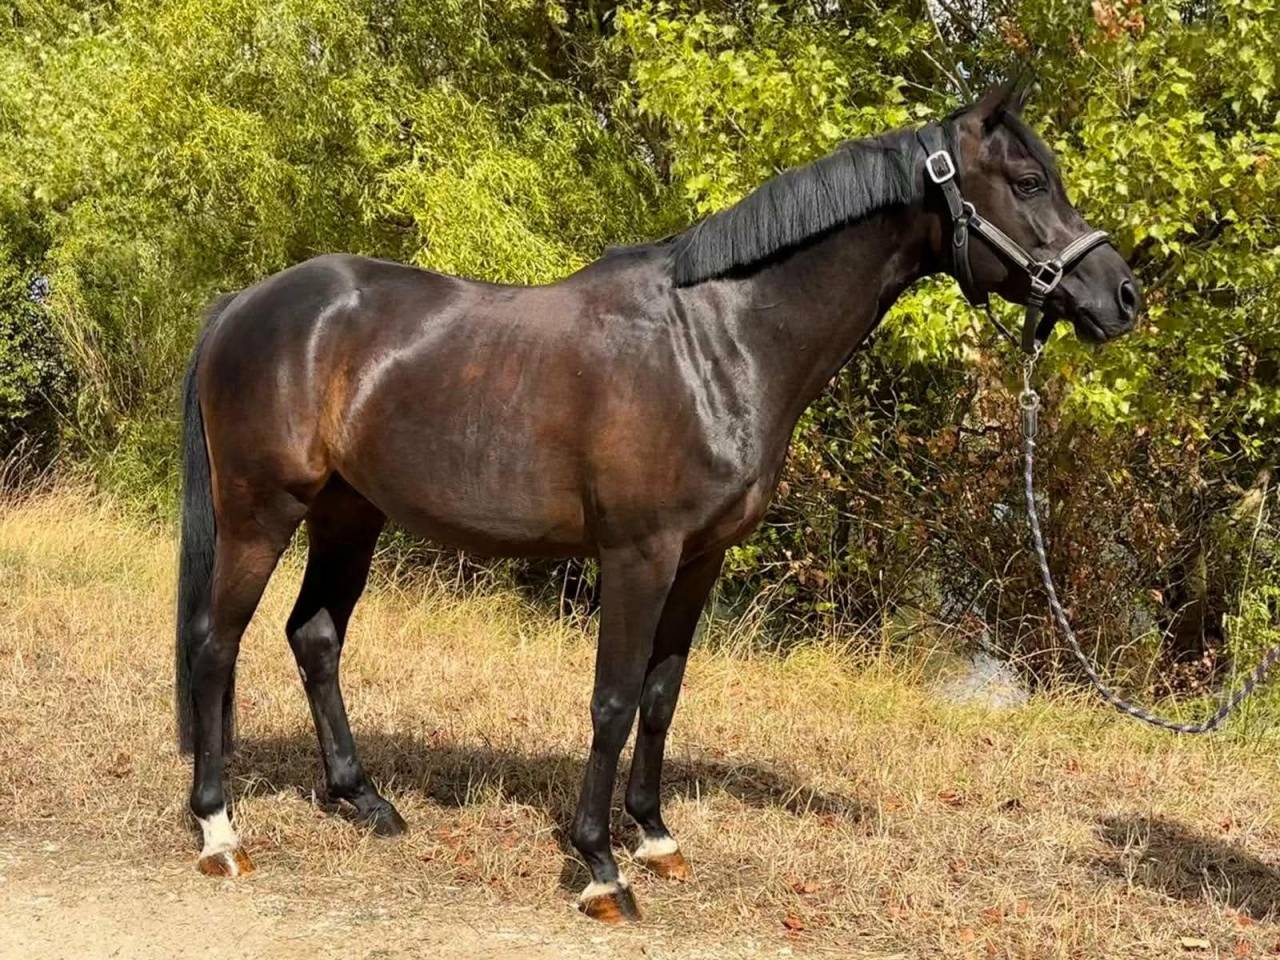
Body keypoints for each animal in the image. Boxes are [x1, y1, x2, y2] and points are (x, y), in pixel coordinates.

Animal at [174, 80, 1140, 923]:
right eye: (1027, 183)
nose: (1121, 296)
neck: (717, 340)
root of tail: (243, 305)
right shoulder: (639, 554)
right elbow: (611, 697)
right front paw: (600, 868)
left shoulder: (702, 556)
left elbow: (661, 693)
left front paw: (656, 836)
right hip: (263, 511)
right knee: (216, 643)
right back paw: (220, 830)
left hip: (350, 514)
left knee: (315, 637)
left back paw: (364, 800)